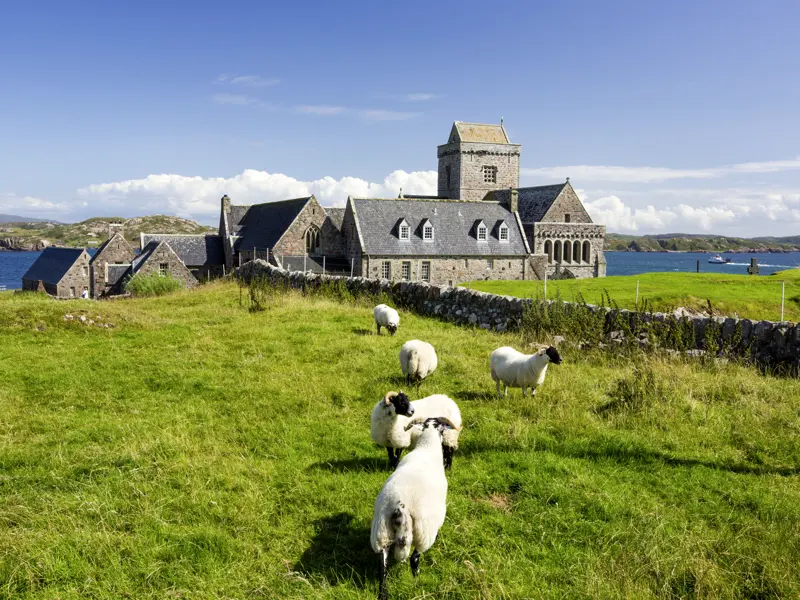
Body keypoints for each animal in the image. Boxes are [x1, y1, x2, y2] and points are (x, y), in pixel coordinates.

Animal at [370, 414, 456, 596]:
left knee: (382, 567)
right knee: (414, 558)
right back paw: (417, 579)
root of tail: (400, 507)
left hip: (381, 532)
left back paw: (383, 594)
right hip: (423, 532)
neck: (427, 447)